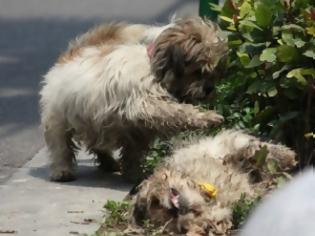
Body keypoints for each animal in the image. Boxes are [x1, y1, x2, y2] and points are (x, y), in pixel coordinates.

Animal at [39, 17, 228, 182]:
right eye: (198, 71)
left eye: (214, 72)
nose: (209, 89)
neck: (153, 68)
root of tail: (68, 57)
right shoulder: (144, 104)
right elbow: (177, 111)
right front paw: (206, 117)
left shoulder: (137, 130)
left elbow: (134, 153)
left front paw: (134, 174)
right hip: (59, 117)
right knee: (60, 145)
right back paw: (62, 170)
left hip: (95, 121)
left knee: (97, 143)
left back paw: (109, 162)